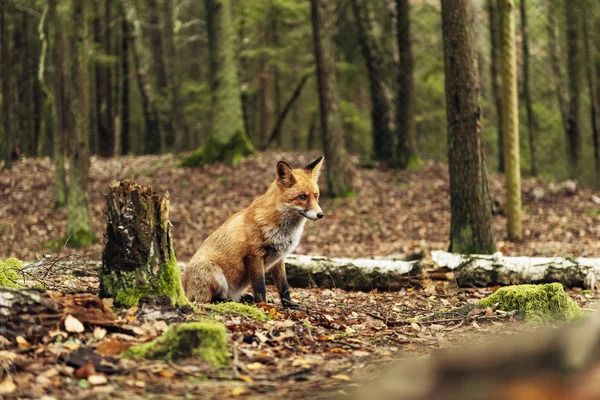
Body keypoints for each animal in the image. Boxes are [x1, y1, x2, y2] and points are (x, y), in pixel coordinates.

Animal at [182, 155, 326, 306]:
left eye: (316, 195)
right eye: (302, 197)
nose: (320, 214)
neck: (282, 230)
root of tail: (183, 285)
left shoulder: (279, 257)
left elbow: (284, 285)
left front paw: (288, 304)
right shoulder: (254, 255)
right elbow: (260, 286)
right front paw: (263, 305)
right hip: (213, 272)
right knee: (204, 300)